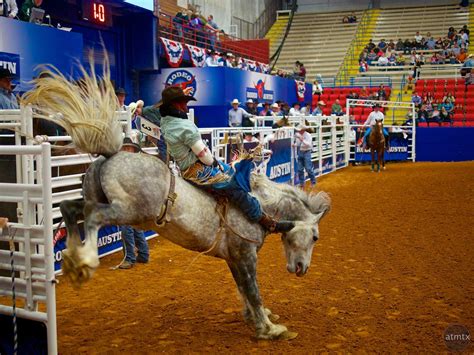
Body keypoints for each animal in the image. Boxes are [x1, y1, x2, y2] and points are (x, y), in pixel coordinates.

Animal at [21, 62, 330, 340]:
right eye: (315, 237)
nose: (301, 269)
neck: (262, 205)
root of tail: (111, 155)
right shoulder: (245, 254)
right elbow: (252, 290)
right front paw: (270, 329)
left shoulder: (234, 257)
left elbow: (244, 288)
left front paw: (258, 318)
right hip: (128, 211)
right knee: (94, 217)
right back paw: (84, 262)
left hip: (97, 199)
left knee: (70, 208)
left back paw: (71, 257)